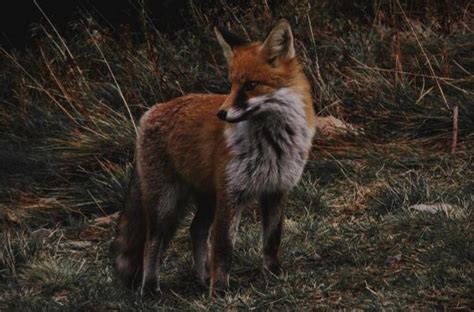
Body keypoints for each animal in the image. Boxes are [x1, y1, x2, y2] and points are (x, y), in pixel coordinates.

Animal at [113, 18, 316, 296]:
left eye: (250, 85)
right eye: (231, 84)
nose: (221, 113)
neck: (272, 143)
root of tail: (150, 112)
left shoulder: (276, 189)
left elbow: (272, 240)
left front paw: (273, 275)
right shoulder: (231, 194)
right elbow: (223, 247)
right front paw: (219, 290)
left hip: (207, 197)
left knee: (196, 229)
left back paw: (201, 277)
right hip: (165, 203)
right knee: (151, 243)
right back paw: (151, 287)